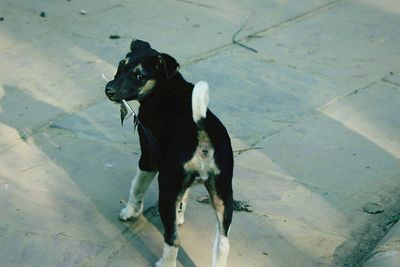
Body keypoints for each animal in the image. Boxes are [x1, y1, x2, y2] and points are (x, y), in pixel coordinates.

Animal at [104, 39, 233, 267]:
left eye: (139, 76)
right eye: (121, 65)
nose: (108, 90)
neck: (166, 87)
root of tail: (202, 133)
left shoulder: (148, 158)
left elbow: (137, 187)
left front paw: (130, 212)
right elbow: (183, 198)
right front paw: (179, 215)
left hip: (166, 188)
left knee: (173, 238)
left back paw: (164, 262)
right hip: (223, 195)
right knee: (223, 244)